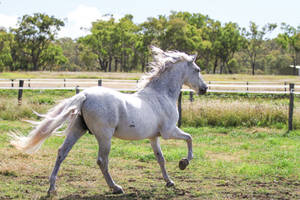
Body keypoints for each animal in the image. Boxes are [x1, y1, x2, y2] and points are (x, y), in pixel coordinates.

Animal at [9, 46, 207, 195]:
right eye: (197, 70)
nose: (204, 89)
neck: (161, 95)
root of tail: (85, 95)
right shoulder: (169, 131)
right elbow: (190, 139)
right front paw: (184, 163)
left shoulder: (154, 137)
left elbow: (161, 159)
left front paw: (169, 182)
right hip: (105, 136)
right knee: (102, 161)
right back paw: (116, 187)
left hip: (77, 130)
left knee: (61, 153)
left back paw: (52, 189)